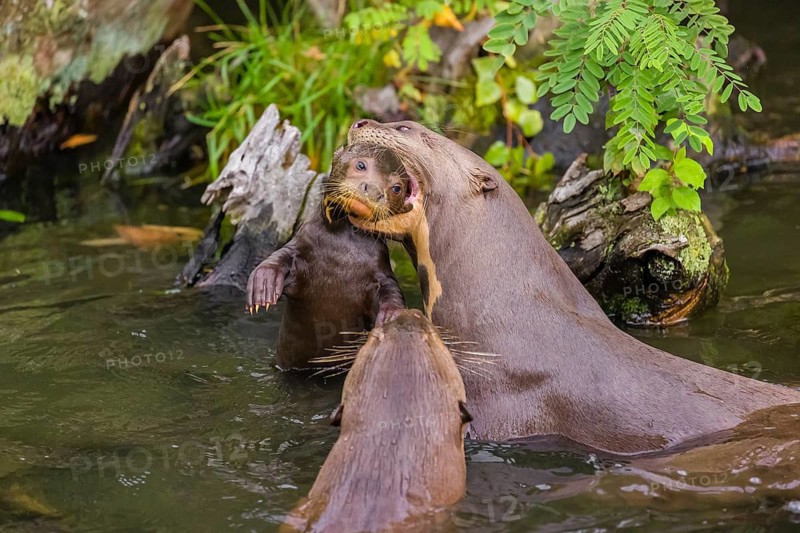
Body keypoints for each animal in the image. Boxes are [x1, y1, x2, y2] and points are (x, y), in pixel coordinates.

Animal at [246, 144, 407, 370]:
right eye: (361, 164)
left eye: (396, 188)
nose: (375, 190)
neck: (341, 254)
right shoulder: (301, 245)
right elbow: (277, 258)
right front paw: (264, 285)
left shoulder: (381, 271)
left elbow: (392, 291)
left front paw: (390, 317)